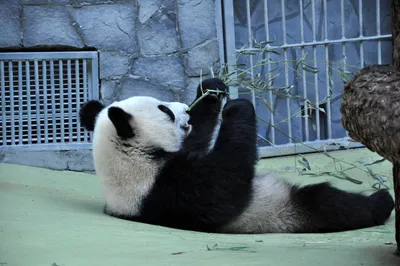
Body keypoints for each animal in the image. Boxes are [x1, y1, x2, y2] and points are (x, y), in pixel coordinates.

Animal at [79, 78, 394, 234]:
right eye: (164, 110)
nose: (184, 110)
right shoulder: (163, 189)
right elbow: (222, 189)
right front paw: (238, 107)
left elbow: (197, 139)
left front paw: (211, 90)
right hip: (281, 210)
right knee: (326, 203)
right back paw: (381, 201)